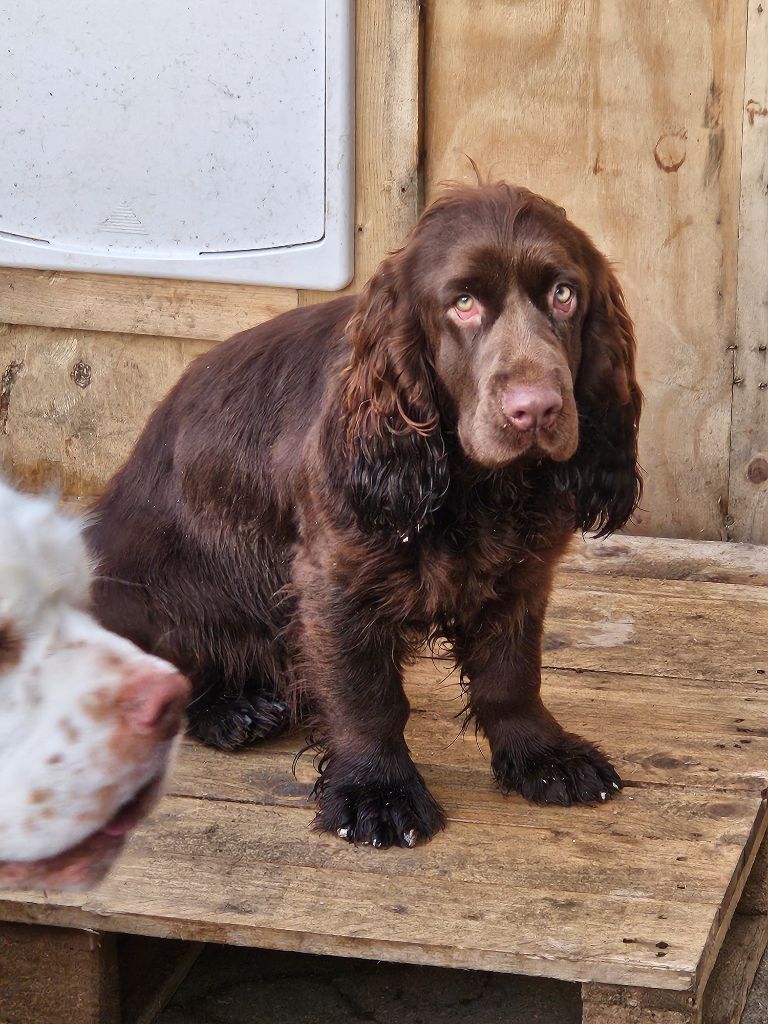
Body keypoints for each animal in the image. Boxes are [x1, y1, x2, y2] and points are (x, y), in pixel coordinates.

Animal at [87, 182, 643, 847]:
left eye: (565, 294)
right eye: (462, 303)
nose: (535, 410)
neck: (480, 486)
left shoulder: (521, 574)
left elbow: (511, 675)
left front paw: (542, 756)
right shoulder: (335, 580)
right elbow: (367, 696)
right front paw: (377, 792)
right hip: (140, 585)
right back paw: (231, 709)